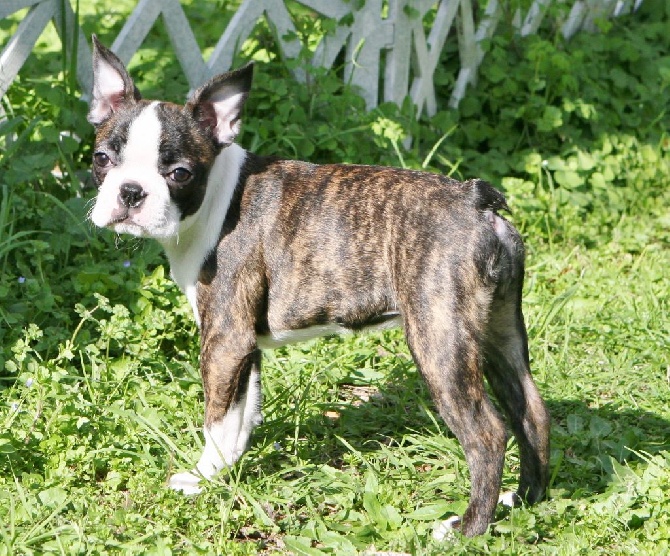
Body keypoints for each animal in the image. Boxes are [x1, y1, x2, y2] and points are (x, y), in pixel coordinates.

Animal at [88, 35, 552, 540]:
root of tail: (475, 200)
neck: (214, 200)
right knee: (531, 411)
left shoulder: (225, 340)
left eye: (179, 174)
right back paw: (524, 500)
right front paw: (225, 474)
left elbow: (217, 419)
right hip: (499, 330)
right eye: (101, 159)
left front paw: (201, 478)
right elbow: (241, 416)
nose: (131, 191)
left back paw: (467, 527)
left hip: (439, 340)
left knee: (488, 433)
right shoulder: (244, 346)